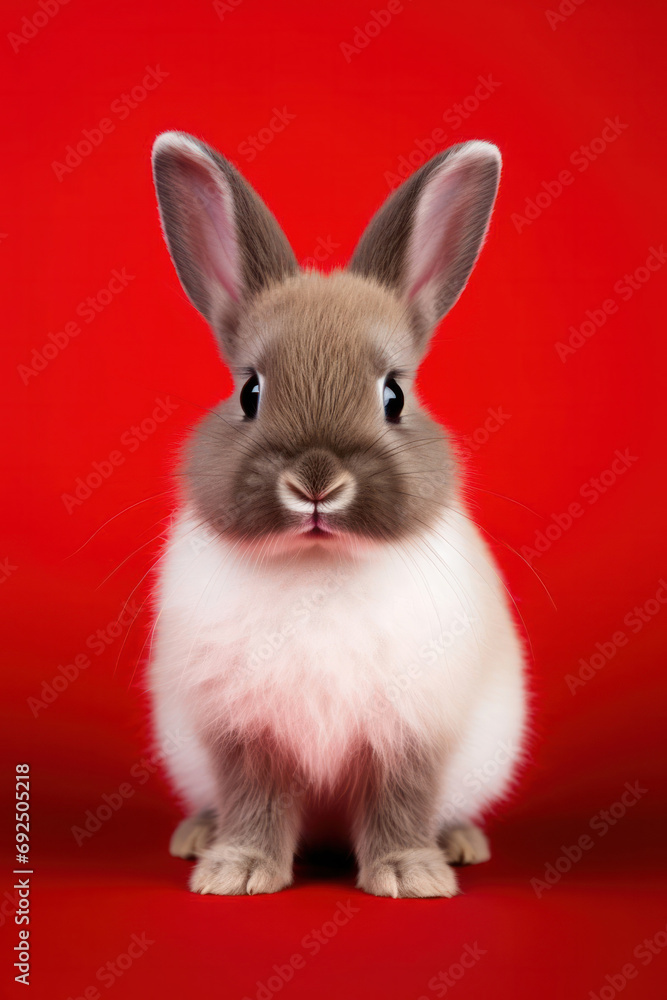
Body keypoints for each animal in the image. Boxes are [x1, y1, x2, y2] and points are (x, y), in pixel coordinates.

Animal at [148, 130, 528, 898]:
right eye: (250, 392)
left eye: (393, 396)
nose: (317, 481)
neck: (318, 562)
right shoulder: (245, 733)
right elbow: (256, 798)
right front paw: (235, 871)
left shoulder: (411, 732)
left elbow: (399, 799)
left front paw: (410, 876)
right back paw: (197, 835)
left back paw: (460, 844)